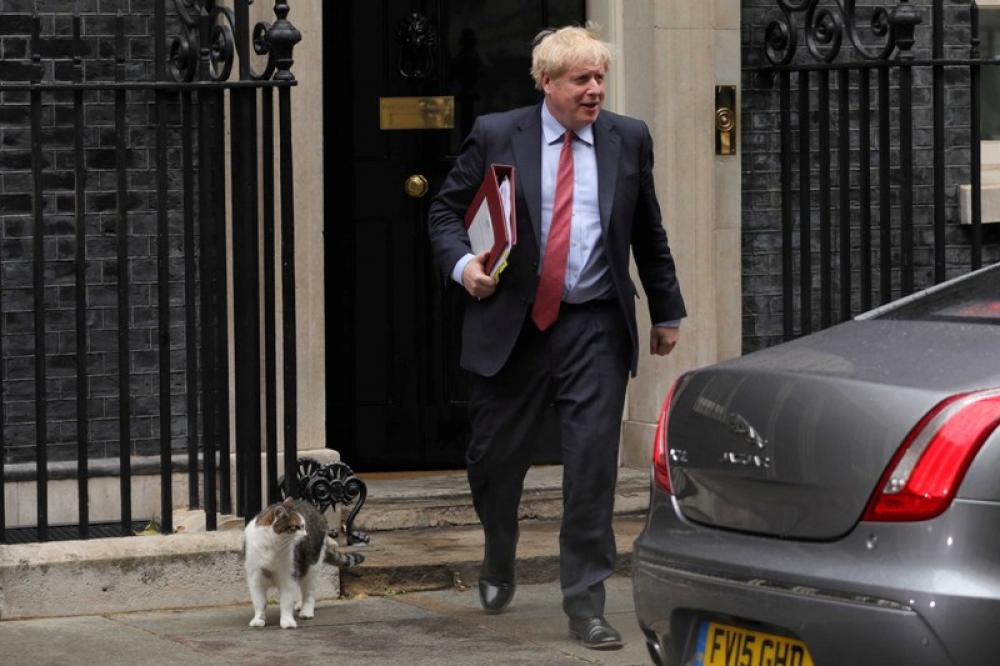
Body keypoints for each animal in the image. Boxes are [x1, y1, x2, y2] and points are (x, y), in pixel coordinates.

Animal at [242, 496, 364, 624]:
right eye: (296, 527)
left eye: (304, 526)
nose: (306, 535)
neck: (272, 546)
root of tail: (316, 510)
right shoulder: (255, 577)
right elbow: (259, 602)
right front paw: (258, 620)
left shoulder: (288, 575)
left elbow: (286, 601)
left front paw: (287, 622)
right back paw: (300, 604)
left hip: (311, 566)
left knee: (308, 593)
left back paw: (306, 611)